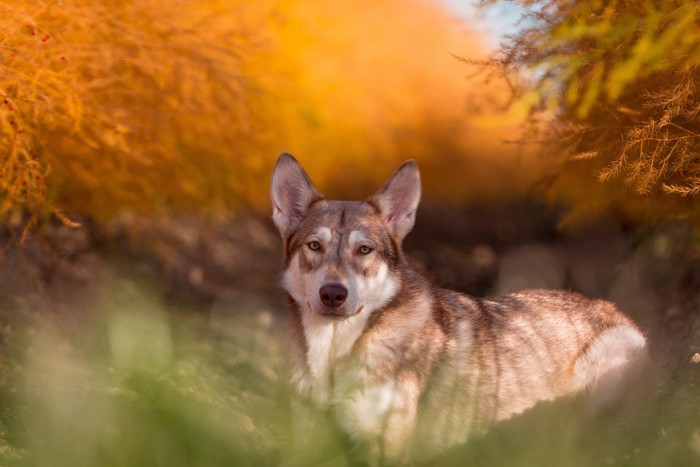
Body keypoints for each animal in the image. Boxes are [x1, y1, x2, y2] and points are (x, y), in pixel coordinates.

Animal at [270, 153, 648, 464]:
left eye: (364, 250)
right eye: (314, 246)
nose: (333, 294)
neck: (336, 356)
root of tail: (615, 309)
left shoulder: (386, 446)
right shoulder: (307, 437)